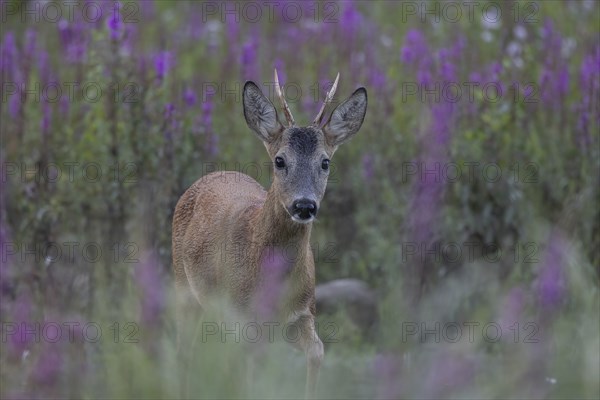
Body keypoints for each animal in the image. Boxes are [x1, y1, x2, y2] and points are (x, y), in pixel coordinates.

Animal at [171, 70, 368, 398]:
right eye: (280, 160)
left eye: (325, 162)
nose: (304, 205)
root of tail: (215, 173)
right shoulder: (242, 320)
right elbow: (248, 377)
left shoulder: (302, 314)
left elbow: (317, 352)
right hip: (184, 288)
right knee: (185, 353)